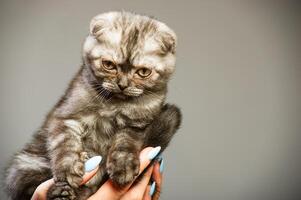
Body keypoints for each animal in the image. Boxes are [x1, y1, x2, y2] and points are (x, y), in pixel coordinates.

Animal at [4, 11, 180, 200]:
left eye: (143, 72)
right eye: (109, 65)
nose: (122, 84)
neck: (115, 105)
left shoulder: (137, 124)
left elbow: (126, 140)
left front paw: (123, 165)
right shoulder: (67, 116)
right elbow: (66, 145)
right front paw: (69, 171)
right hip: (25, 164)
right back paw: (61, 192)